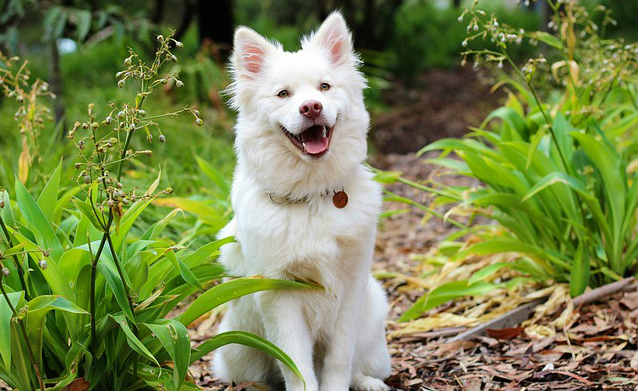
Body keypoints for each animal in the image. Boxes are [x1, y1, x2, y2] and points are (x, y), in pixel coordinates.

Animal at [215, 10, 392, 390]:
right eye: (283, 94)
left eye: (324, 87)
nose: (311, 107)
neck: (312, 196)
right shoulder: (280, 296)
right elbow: (296, 365)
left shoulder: (350, 289)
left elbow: (339, 360)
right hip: (236, 346)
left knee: (359, 364)